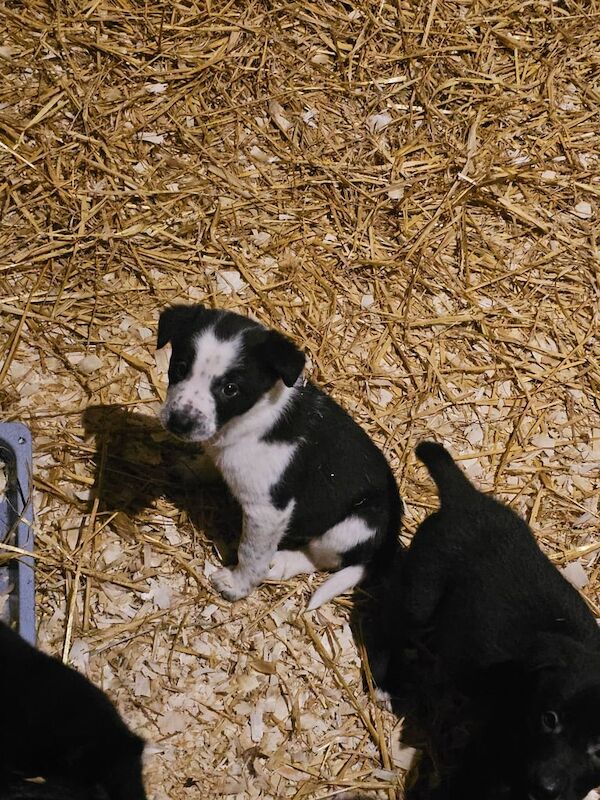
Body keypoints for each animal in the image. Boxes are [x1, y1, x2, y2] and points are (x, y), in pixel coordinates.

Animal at [157, 304, 400, 608]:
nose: (180, 422)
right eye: (180, 367)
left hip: (351, 528)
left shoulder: (268, 511)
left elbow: (251, 553)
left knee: (323, 559)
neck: (250, 418)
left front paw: (237, 585)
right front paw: (189, 468)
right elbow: (209, 461)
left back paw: (284, 562)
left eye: (230, 389)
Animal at [372, 440, 600, 800]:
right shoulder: (487, 751)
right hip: (419, 596)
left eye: (599, 748)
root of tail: (467, 499)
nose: (545, 788)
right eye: (549, 719)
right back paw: (387, 681)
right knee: (389, 625)